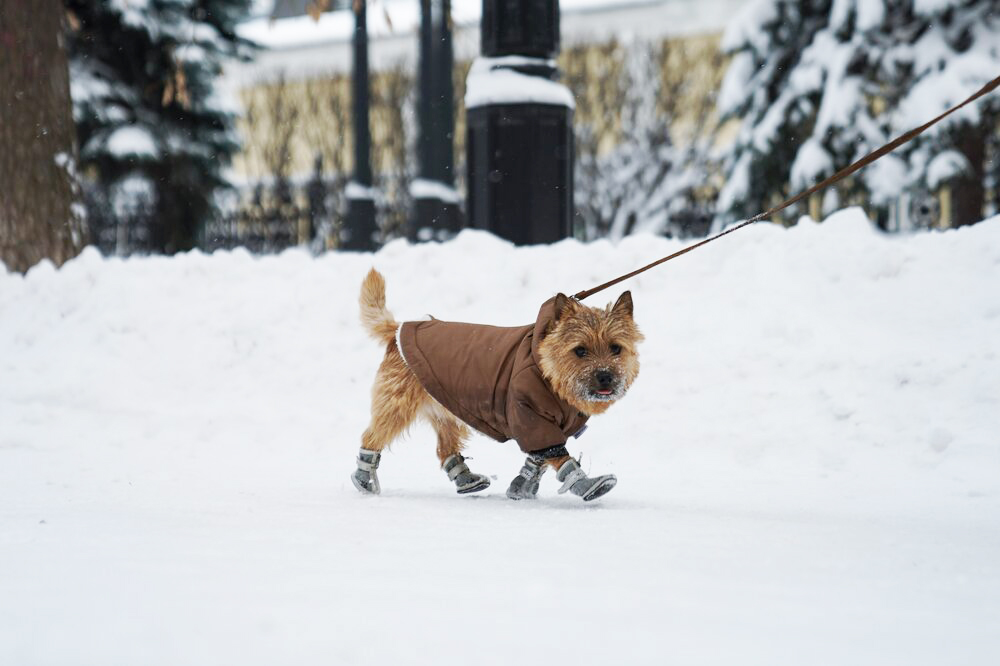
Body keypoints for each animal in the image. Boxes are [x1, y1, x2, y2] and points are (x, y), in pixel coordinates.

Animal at [352, 268, 644, 500]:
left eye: (615, 348)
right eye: (580, 351)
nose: (605, 376)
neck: (548, 371)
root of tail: (398, 329)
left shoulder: (550, 424)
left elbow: (538, 458)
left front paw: (521, 488)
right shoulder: (529, 416)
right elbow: (557, 454)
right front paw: (584, 484)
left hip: (445, 407)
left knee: (445, 448)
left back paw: (466, 480)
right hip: (397, 403)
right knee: (372, 436)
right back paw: (364, 478)